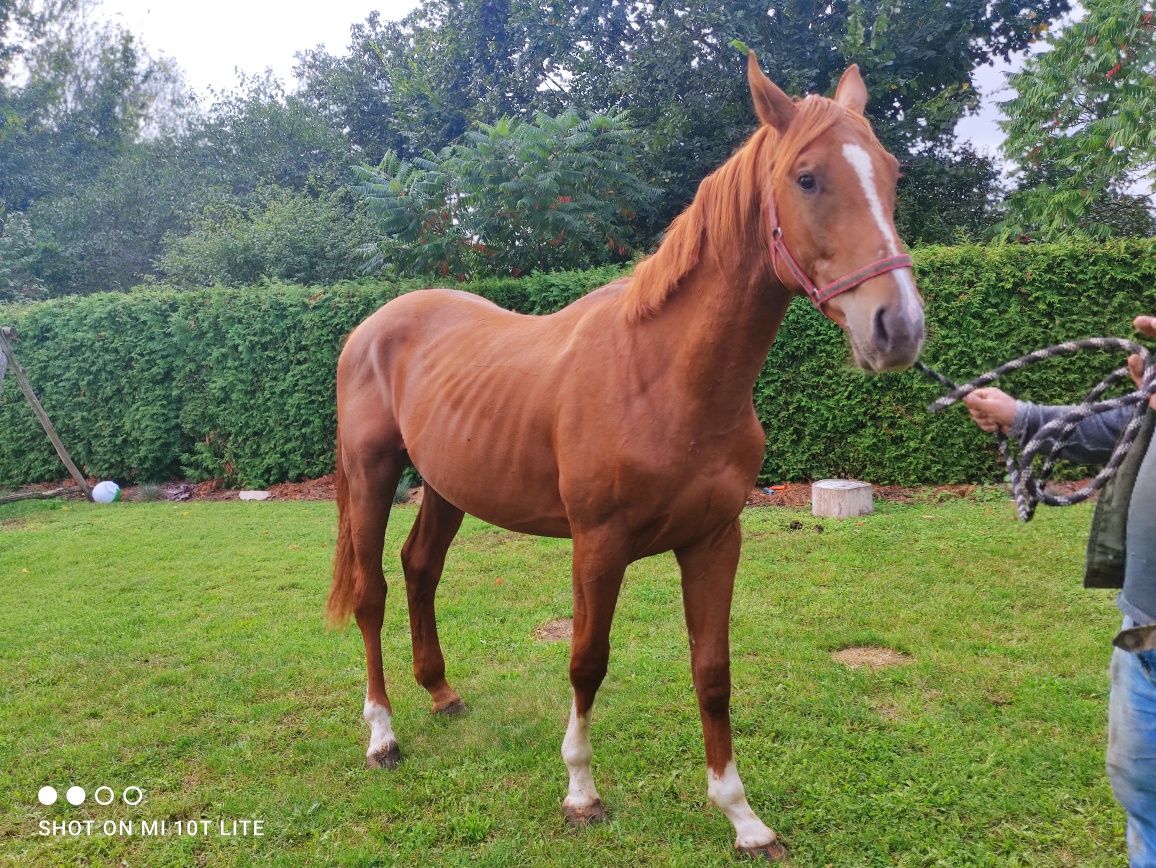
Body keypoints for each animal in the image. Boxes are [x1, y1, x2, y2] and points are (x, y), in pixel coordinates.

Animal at [330, 56, 924, 864]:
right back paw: (383, 735)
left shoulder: (714, 541)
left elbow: (712, 671)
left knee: (421, 570)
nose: (898, 326)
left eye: (891, 174)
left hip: (448, 487)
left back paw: (443, 695)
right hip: (373, 474)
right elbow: (587, 660)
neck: (664, 376)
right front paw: (581, 792)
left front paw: (741, 817)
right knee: (373, 594)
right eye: (807, 178)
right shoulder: (598, 545)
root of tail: (372, 326)